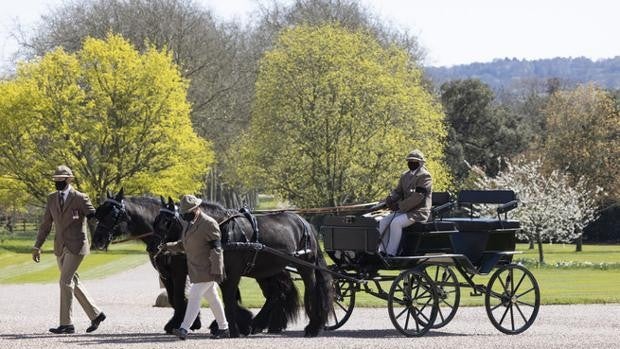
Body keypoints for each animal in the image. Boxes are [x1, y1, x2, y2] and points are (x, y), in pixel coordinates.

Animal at [89, 189, 298, 336]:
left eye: (112, 214)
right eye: (99, 212)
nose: (97, 240)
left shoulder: (180, 271)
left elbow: (180, 297)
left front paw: (188, 322)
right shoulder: (166, 274)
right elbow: (174, 297)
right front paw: (188, 321)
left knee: (277, 292)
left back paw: (258, 324)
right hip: (265, 271)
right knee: (276, 293)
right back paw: (266, 324)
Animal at [155, 197, 334, 336]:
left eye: (166, 221)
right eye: (156, 220)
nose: (158, 250)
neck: (223, 229)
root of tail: (304, 223)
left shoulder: (231, 272)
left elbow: (228, 299)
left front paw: (233, 329)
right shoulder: (220, 272)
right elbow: (227, 299)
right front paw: (233, 325)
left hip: (305, 266)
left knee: (310, 290)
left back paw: (313, 326)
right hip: (268, 270)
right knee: (276, 294)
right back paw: (260, 324)